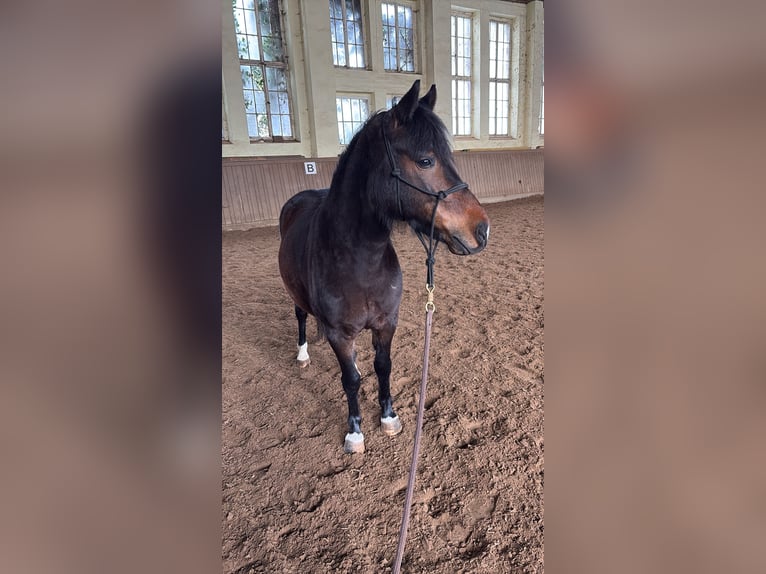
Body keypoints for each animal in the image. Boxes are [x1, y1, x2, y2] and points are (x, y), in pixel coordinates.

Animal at [278, 80, 490, 454]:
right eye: (425, 160)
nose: (482, 229)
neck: (360, 260)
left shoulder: (386, 324)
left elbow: (383, 367)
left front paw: (388, 417)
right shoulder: (339, 334)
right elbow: (350, 379)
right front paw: (354, 432)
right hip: (295, 294)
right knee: (301, 315)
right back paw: (302, 353)